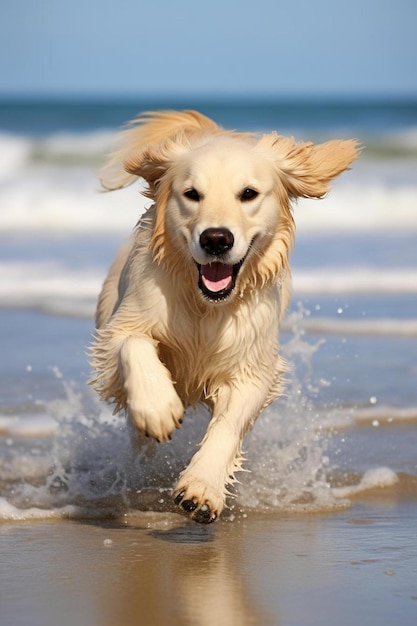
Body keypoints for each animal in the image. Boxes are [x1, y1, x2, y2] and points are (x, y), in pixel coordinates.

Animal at [88, 109, 358, 520]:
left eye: (248, 194)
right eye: (191, 194)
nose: (216, 239)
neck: (206, 307)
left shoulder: (252, 365)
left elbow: (228, 426)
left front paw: (202, 487)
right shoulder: (119, 331)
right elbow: (134, 343)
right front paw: (158, 407)